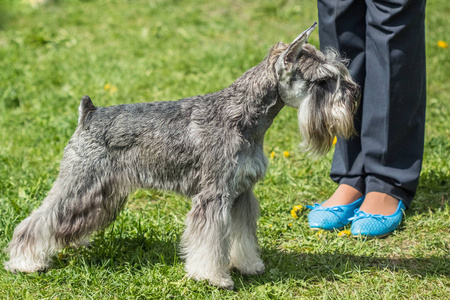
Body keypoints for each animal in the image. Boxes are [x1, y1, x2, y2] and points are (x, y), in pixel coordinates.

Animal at [4, 22, 358, 290]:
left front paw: (249, 265)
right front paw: (214, 277)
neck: (245, 117)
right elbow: (210, 241)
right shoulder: (213, 195)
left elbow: (241, 236)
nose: (354, 95)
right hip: (80, 181)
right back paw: (25, 262)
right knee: (39, 219)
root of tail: (88, 114)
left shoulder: (242, 193)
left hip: (101, 193)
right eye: (324, 80)